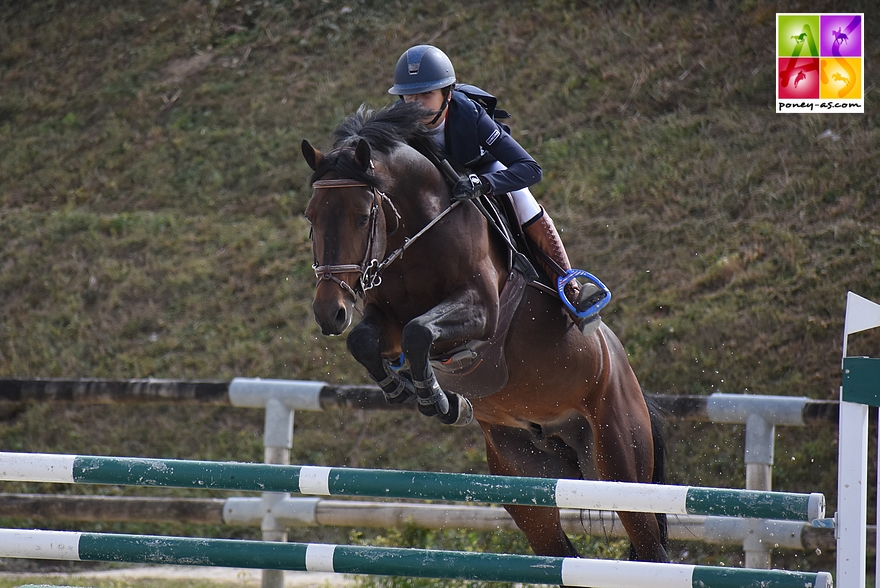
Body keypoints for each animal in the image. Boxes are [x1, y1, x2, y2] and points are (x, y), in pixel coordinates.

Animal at [300, 102, 668, 564]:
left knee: (650, 546)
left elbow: (421, 332)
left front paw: (441, 401)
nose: (329, 312)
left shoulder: (481, 311)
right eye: (311, 217)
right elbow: (365, 341)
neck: (417, 234)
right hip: (523, 473)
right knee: (557, 547)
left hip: (619, 458)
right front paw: (401, 388)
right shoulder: (388, 321)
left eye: (363, 216)